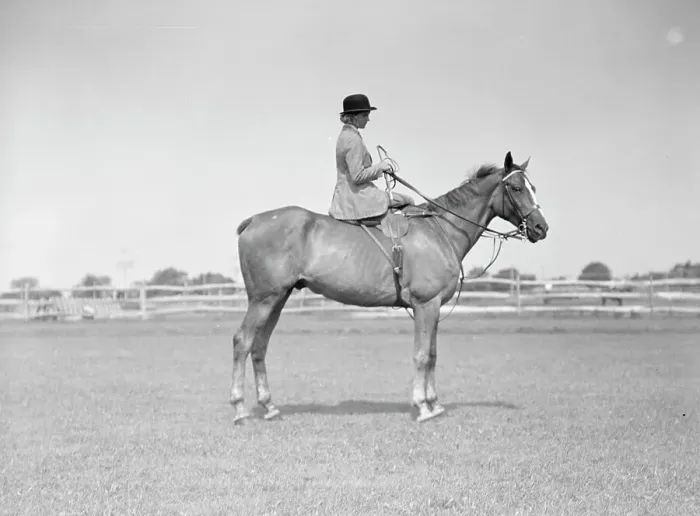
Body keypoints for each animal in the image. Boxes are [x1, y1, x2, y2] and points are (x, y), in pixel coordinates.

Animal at [230, 151, 549, 424]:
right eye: (517, 188)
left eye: (532, 186)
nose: (541, 228)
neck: (440, 230)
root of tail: (253, 221)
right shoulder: (425, 305)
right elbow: (422, 355)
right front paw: (422, 407)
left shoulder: (433, 308)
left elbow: (432, 355)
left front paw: (434, 403)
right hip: (263, 299)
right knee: (243, 341)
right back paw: (239, 409)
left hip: (278, 298)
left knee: (259, 345)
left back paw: (269, 406)